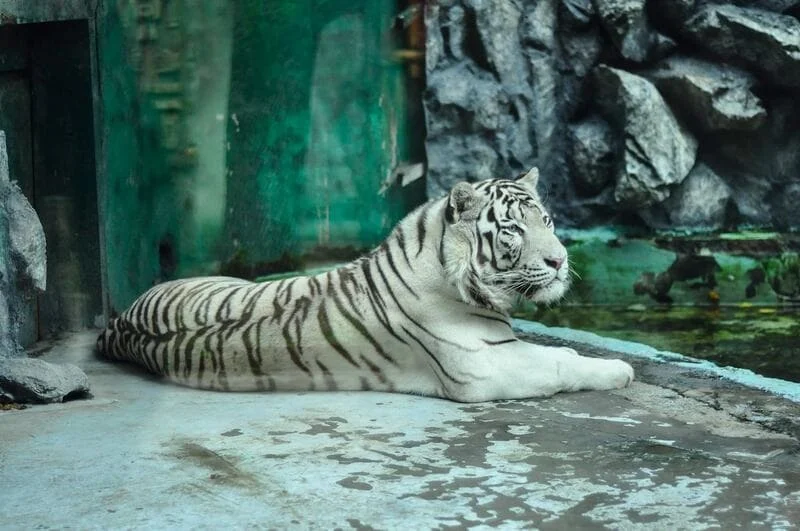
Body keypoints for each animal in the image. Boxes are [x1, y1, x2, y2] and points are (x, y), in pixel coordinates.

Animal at [97, 168, 634, 402]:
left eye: (546, 220)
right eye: (513, 230)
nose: (560, 260)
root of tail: (119, 323)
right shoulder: (483, 369)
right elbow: (560, 362)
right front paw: (621, 370)